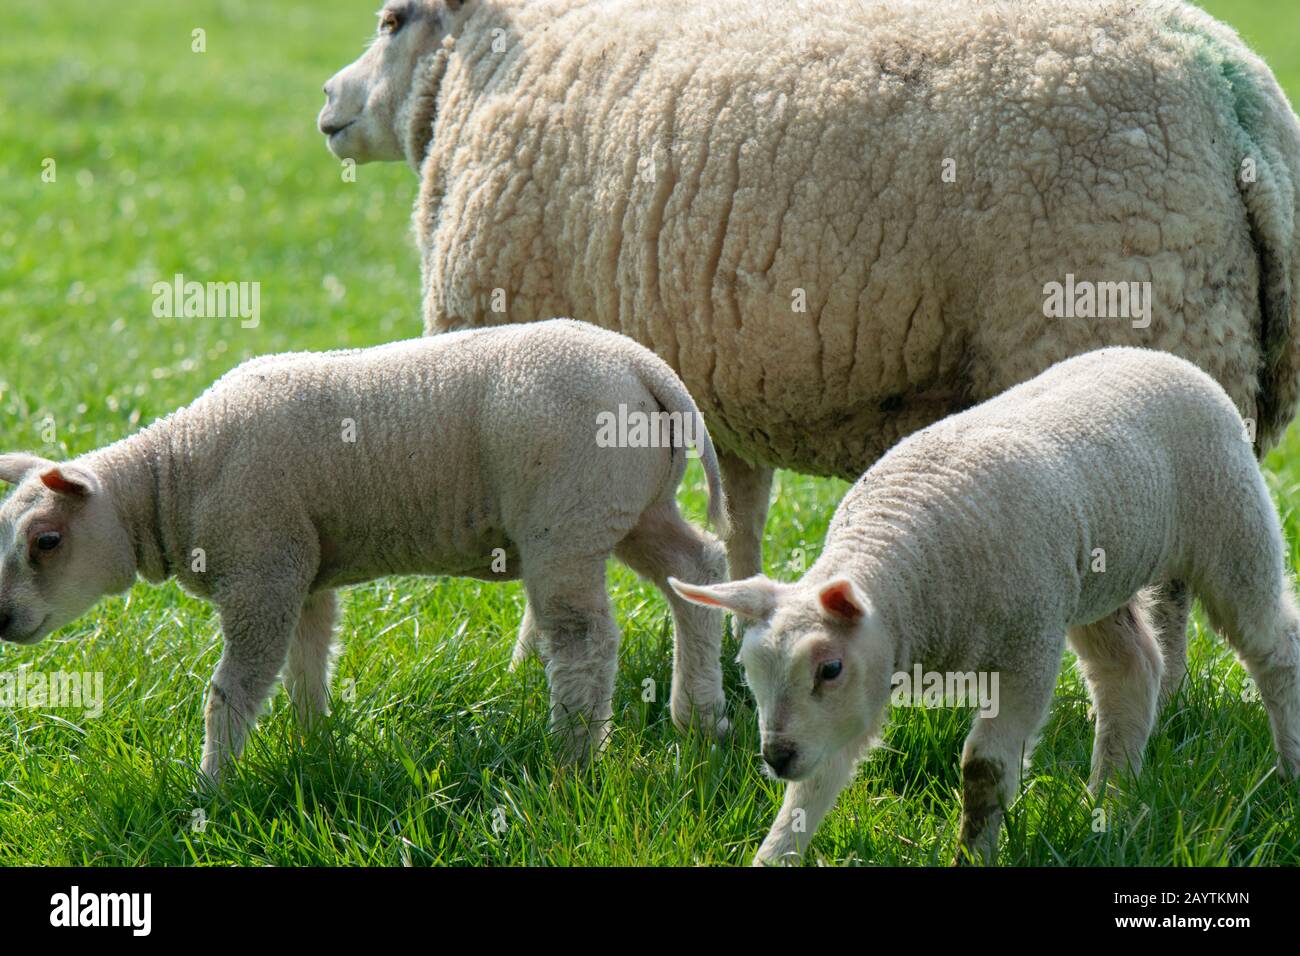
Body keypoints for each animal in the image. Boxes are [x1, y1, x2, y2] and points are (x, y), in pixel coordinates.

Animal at [0, 320, 731, 782]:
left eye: (47, 541)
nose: (3, 620)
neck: (174, 478)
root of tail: (645, 366)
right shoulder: (303, 570)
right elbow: (308, 663)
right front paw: (312, 744)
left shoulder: (261, 573)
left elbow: (233, 691)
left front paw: (210, 786)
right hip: (632, 507)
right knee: (697, 568)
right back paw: (699, 717)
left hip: (570, 519)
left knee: (585, 638)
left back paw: (574, 758)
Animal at [319, 0, 1300, 666]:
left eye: (391, 18)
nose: (328, 103)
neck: (476, 74)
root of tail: (1236, 98)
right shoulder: (718, 383)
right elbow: (742, 520)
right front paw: (733, 623)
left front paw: (526, 662)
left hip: (1120, 340)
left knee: (1161, 595)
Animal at [670, 347, 1300, 866]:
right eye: (749, 671)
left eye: (829, 668)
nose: (775, 756)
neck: (909, 565)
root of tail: (1159, 354)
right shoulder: (860, 691)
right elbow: (816, 782)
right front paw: (776, 853)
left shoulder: (1027, 651)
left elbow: (984, 770)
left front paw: (974, 854)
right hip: (1097, 580)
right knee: (1131, 672)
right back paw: (1108, 805)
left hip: (1232, 528)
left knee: (1274, 648)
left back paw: (1289, 774)